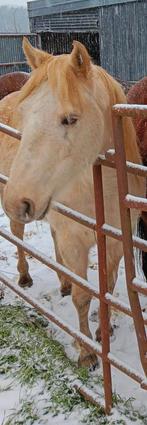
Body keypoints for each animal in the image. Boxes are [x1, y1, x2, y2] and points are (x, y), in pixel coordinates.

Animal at [0, 38, 145, 366]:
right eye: (25, 115)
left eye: (70, 119)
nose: (15, 201)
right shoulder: (75, 243)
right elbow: (83, 297)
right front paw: (87, 353)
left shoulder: (113, 244)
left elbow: (107, 287)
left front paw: (105, 332)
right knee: (17, 237)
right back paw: (24, 276)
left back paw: (63, 282)